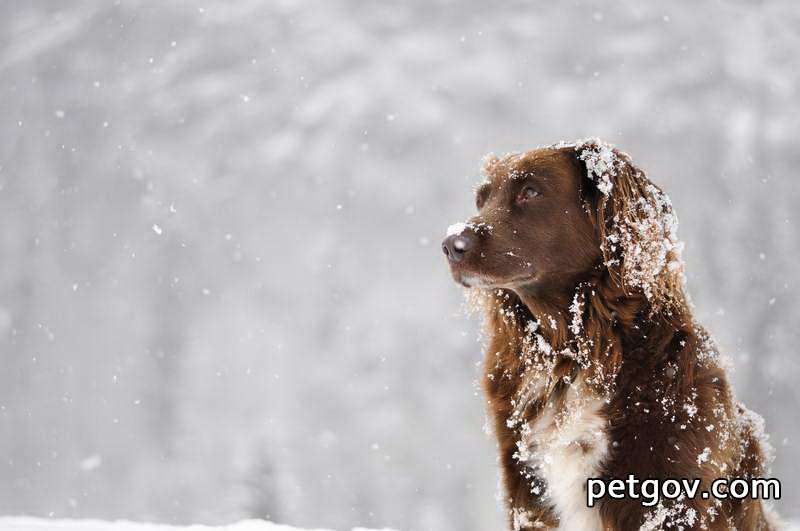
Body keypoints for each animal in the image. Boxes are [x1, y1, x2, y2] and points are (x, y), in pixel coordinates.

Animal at [440, 141, 780, 531]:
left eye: (531, 192)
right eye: (481, 200)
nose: (450, 244)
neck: (576, 351)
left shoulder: (670, 490)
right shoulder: (526, 490)